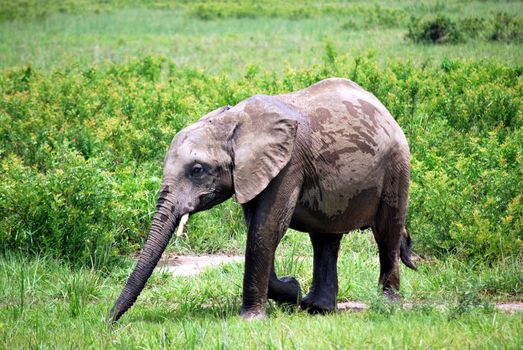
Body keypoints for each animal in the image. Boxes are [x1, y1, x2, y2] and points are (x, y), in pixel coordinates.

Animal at [107, 77, 418, 322]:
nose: (108, 322)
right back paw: (316, 308)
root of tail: (384, 109)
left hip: (396, 166)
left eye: (197, 170)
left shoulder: (289, 164)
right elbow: (258, 229)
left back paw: (387, 305)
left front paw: (252, 319)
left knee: (386, 233)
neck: (233, 122)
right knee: (325, 238)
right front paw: (292, 290)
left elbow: (265, 228)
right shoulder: (251, 172)